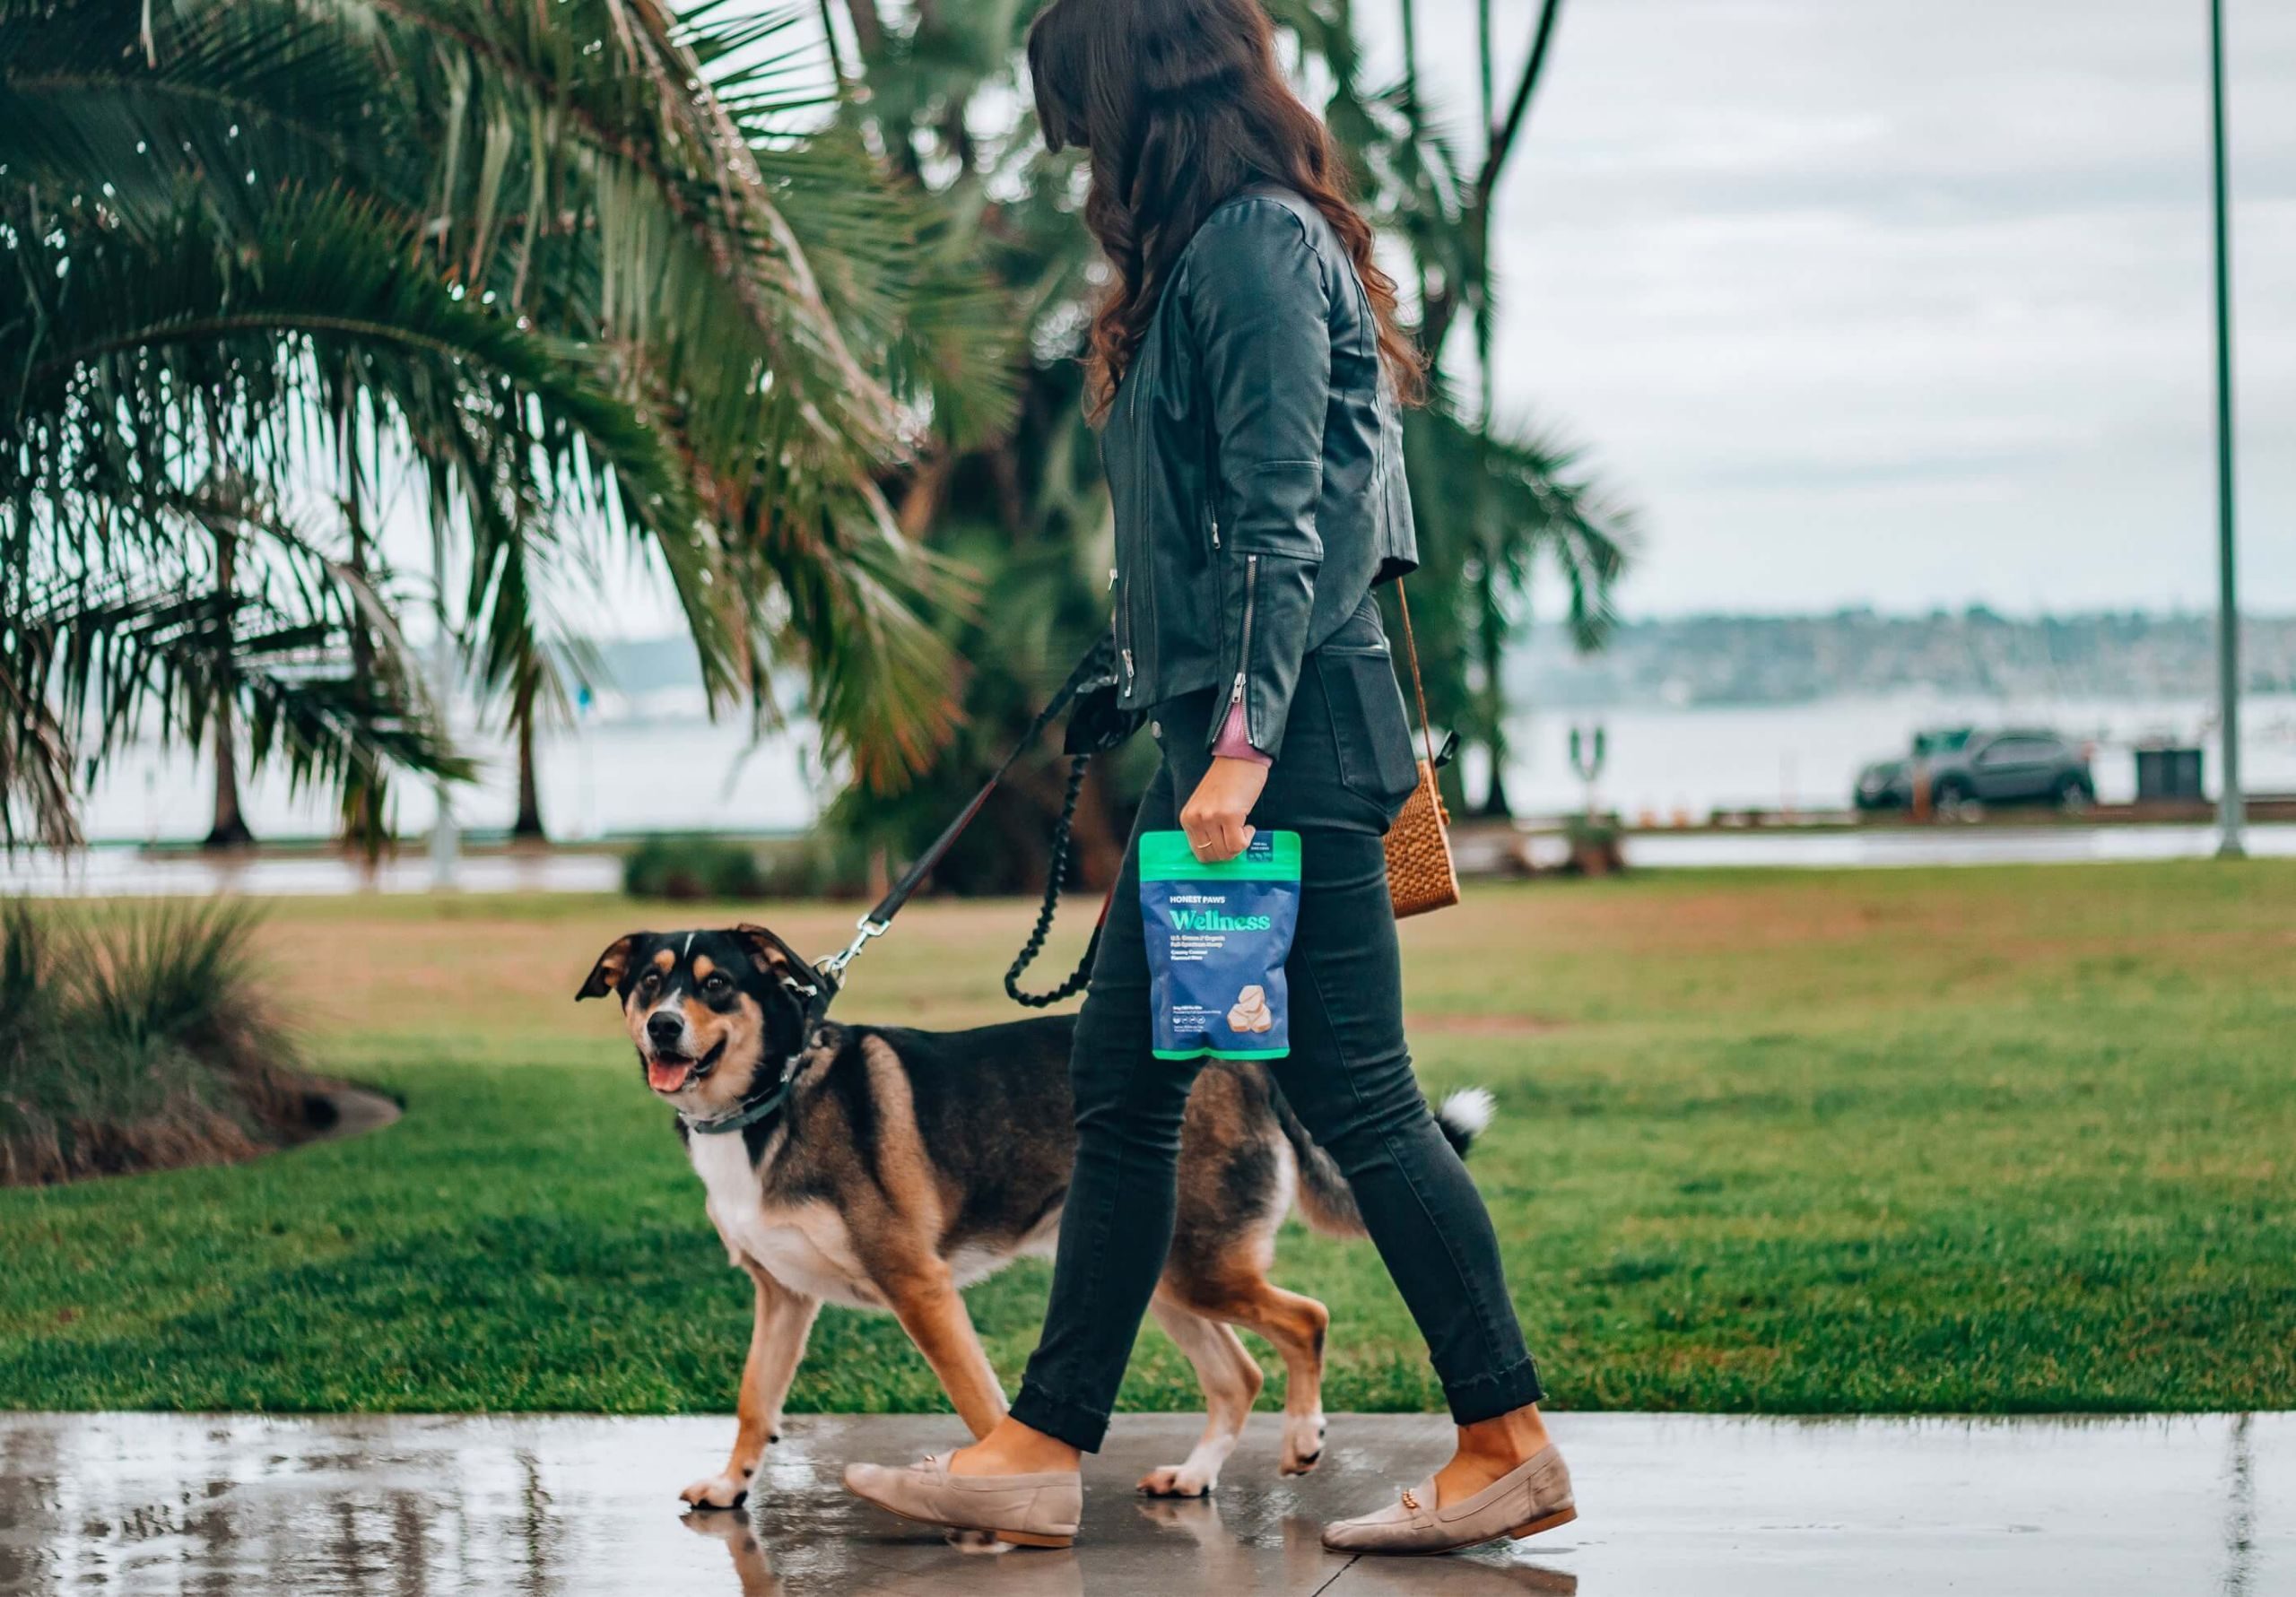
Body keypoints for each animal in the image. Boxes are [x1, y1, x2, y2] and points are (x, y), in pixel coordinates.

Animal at [583, 922, 1497, 1505]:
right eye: (648, 982)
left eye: (717, 985)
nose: (664, 1026)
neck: (769, 1096)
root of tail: (1236, 1063)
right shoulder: (782, 1296)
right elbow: (753, 1400)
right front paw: (731, 1485)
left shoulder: (920, 1288)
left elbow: (981, 1404)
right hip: (1159, 1270)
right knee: (1237, 1374)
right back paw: (1195, 1477)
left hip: (1199, 1266)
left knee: (1306, 1318)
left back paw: (1304, 1437)